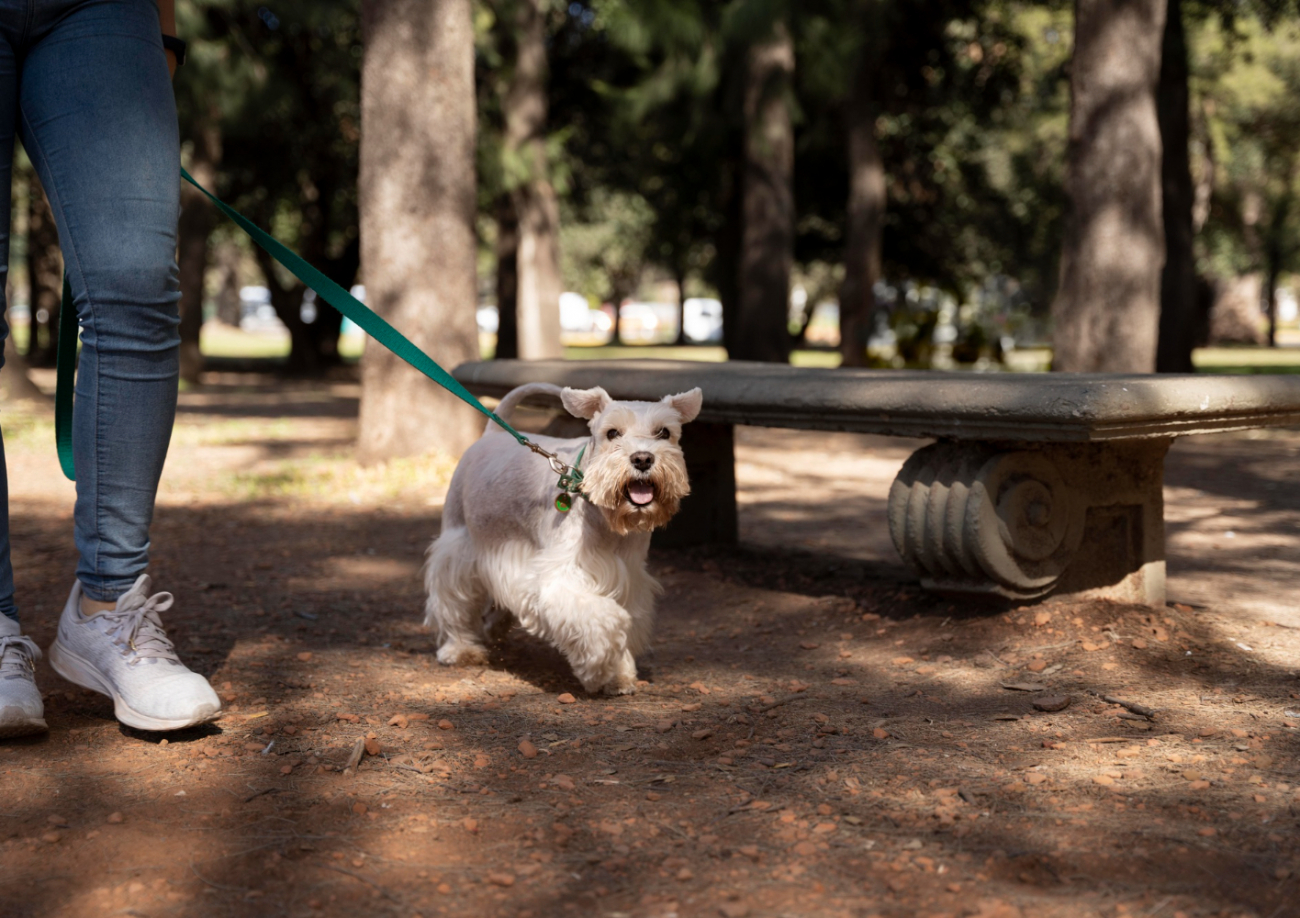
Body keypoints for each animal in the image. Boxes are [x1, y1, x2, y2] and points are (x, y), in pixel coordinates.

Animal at [423, 379, 702, 691]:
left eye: (664, 432)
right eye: (612, 433)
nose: (642, 458)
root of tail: (492, 434)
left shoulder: (629, 577)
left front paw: (620, 675)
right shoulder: (561, 578)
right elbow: (606, 620)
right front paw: (600, 669)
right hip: (459, 542)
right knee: (451, 598)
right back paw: (459, 648)